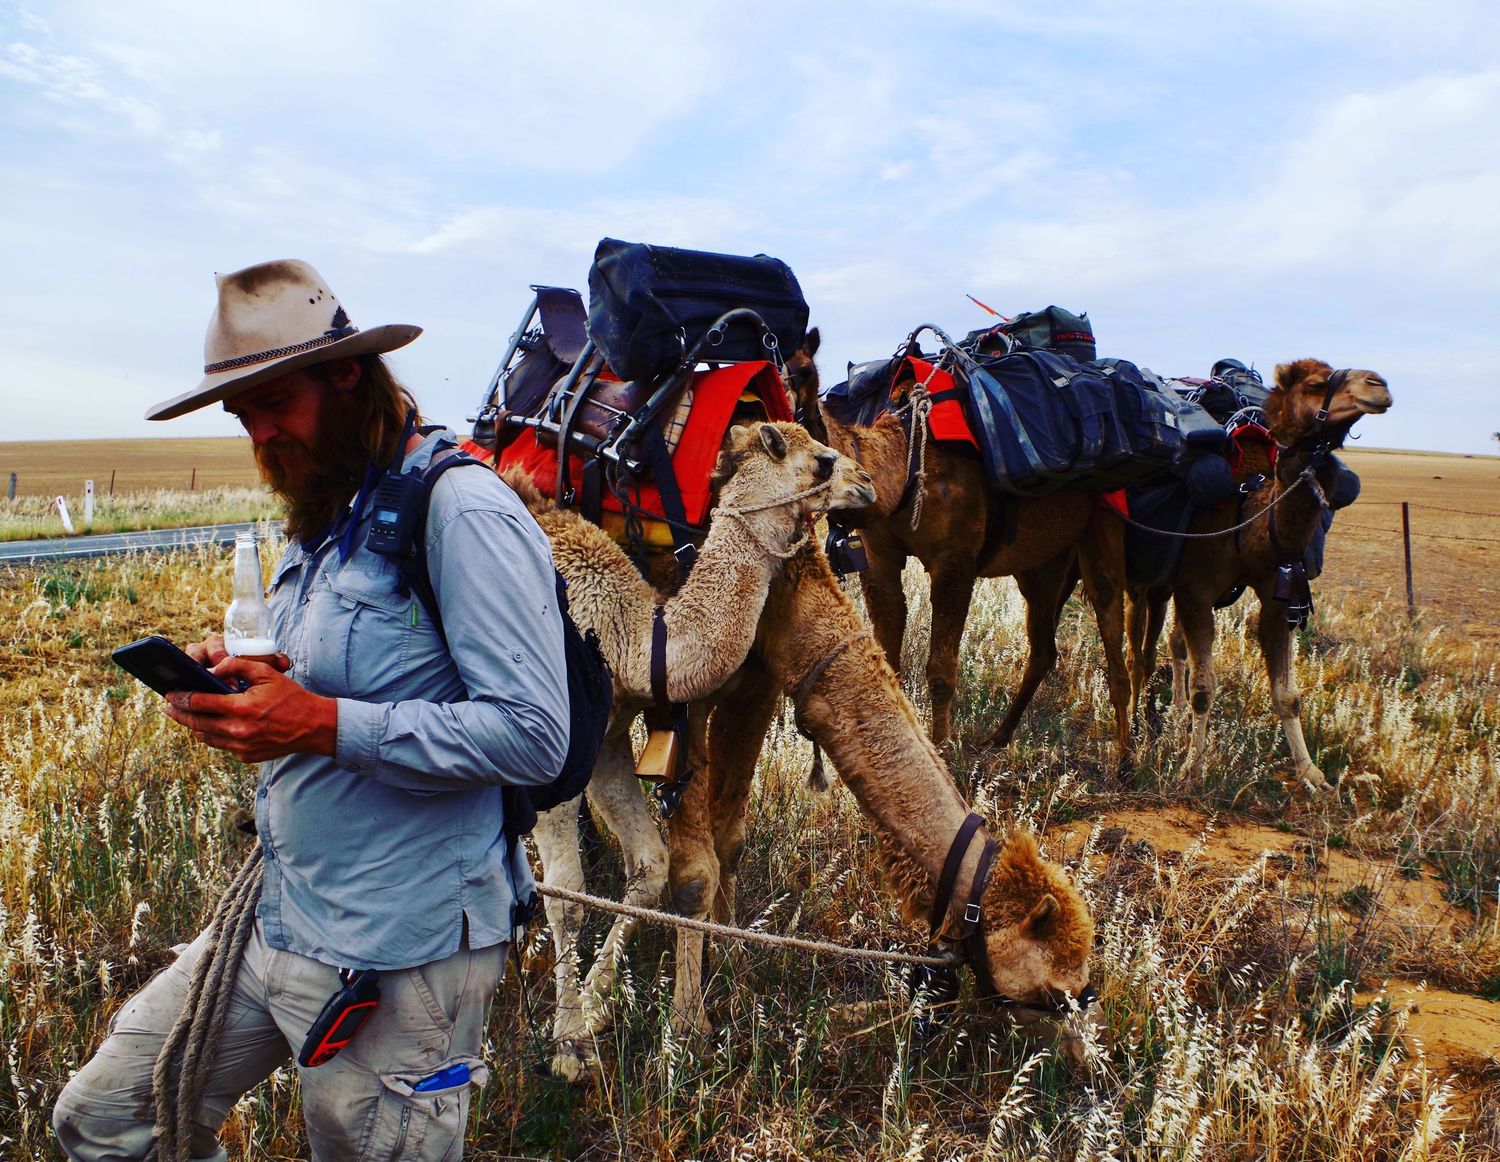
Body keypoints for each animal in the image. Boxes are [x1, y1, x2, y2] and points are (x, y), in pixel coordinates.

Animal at [786, 329, 1134, 767]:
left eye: (800, 372)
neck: (904, 466)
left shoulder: (955, 562)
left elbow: (941, 670)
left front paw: (943, 753)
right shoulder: (879, 559)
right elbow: (888, 660)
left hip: (1102, 529)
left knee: (1113, 642)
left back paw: (1125, 761)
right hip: (1043, 565)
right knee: (1043, 648)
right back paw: (998, 738)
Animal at [1125, 359, 1392, 792]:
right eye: (1316, 384)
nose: (1378, 385)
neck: (1248, 511)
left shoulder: (1276, 594)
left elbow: (1287, 695)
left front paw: (1312, 774)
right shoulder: (1196, 589)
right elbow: (1205, 688)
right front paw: (1191, 769)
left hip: (1166, 587)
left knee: (1169, 644)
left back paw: (1174, 714)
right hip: (1142, 574)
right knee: (1138, 654)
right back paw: (1132, 722)